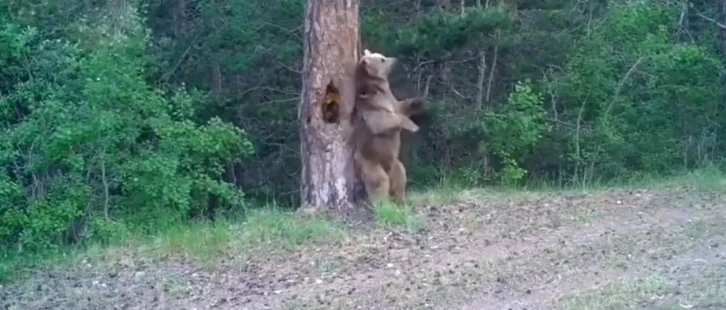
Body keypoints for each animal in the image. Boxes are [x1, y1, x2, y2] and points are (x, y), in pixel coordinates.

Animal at [354, 49, 426, 206]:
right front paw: (413, 126)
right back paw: (383, 203)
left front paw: (418, 102)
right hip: (370, 162)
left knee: (401, 177)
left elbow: (401, 106)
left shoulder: (391, 99)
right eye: (382, 59)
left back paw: (401, 200)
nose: (396, 60)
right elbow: (383, 121)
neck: (379, 89)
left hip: (395, 164)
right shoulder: (372, 106)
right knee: (379, 182)